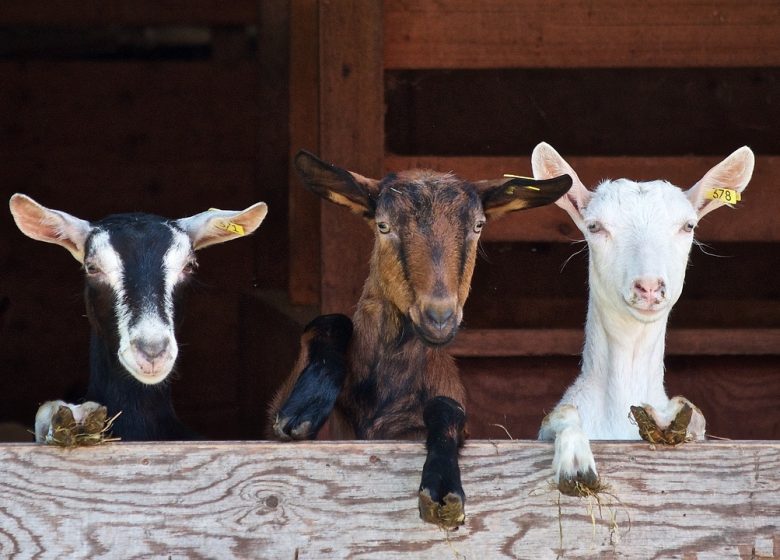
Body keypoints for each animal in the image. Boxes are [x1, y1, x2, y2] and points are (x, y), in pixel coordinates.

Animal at [270, 151, 572, 528]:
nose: (439, 317)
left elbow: (447, 408)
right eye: (383, 225)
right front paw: (304, 408)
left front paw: (442, 487)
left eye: (478, 226)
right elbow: (328, 322)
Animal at [532, 143, 752, 490]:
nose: (649, 287)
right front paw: (575, 463)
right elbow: (561, 413)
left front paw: (669, 418)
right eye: (594, 226)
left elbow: (694, 415)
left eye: (688, 226)